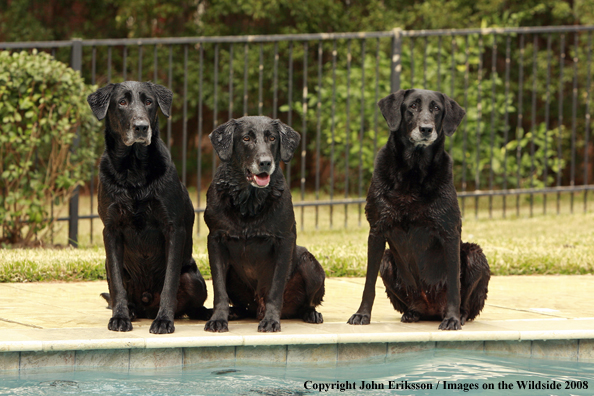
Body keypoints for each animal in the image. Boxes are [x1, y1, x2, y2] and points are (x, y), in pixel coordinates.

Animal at [86, 81, 208, 334]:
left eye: (149, 102)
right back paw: (130, 311)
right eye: (122, 102)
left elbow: (169, 282)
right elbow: (118, 285)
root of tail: (146, 304)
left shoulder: (173, 229)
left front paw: (164, 321)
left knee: (191, 305)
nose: (141, 127)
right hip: (107, 264)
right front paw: (120, 317)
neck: (133, 170)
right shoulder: (111, 230)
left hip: (194, 279)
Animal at [204, 116, 324, 332]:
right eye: (246, 138)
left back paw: (311, 314)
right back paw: (233, 313)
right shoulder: (215, 239)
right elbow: (219, 288)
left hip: (310, 265)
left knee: (307, 303)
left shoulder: (284, 241)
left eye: (272, 138)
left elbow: (275, 289)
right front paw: (218, 319)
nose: (265, 162)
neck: (248, 203)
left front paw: (271, 321)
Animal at [344, 89, 488, 332]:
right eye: (412, 106)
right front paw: (362, 314)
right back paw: (412, 313)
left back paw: (458, 315)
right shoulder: (377, 231)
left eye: (436, 108)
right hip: (387, 261)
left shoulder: (450, 232)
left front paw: (452, 318)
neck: (413, 169)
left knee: (466, 303)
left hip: (475, 255)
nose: (426, 128)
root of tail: (431, 310)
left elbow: (454, 284)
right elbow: (368, 283)